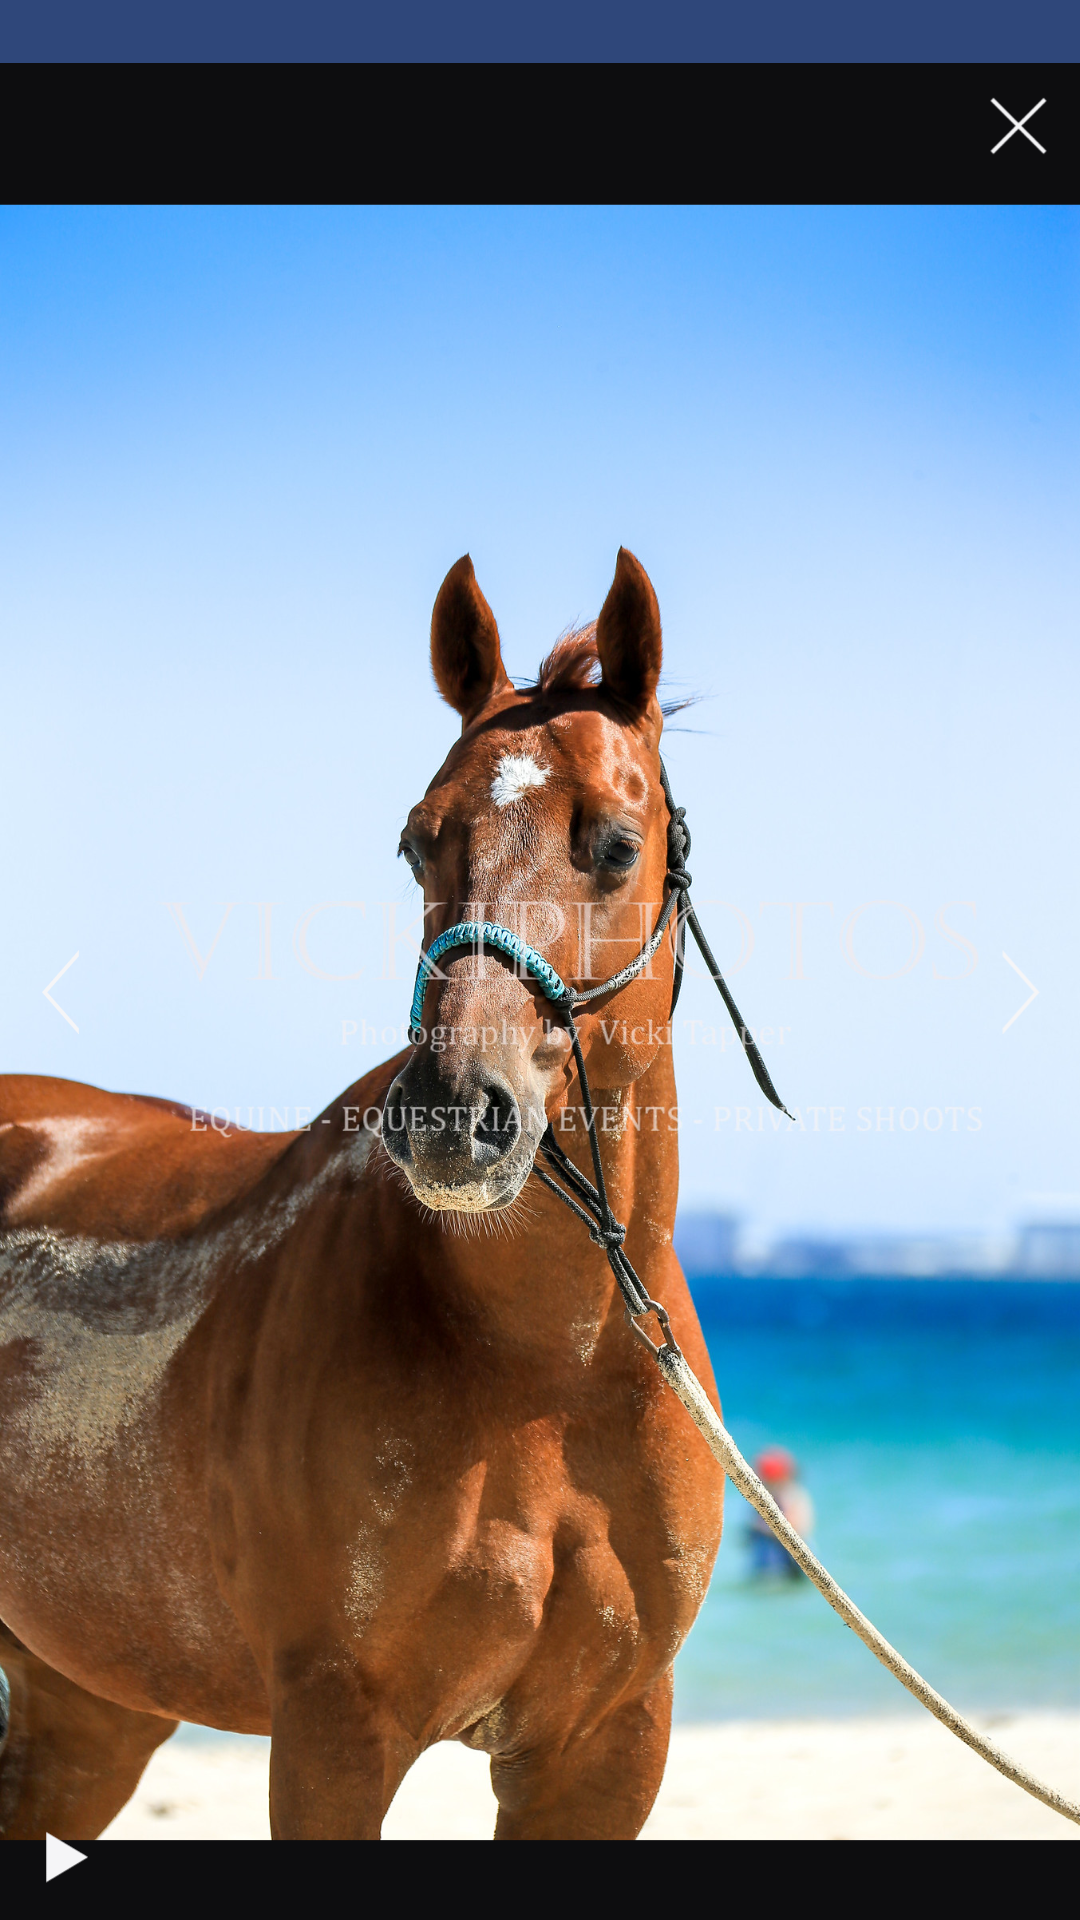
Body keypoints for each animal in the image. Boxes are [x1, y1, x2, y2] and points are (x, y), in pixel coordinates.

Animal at [0, 549, 725, 1841]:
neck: (546, 1370)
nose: (452, 1110)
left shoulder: (605, 1745)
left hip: (88, 1705)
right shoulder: (338, 1731)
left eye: (614, 843)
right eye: (417, 841)